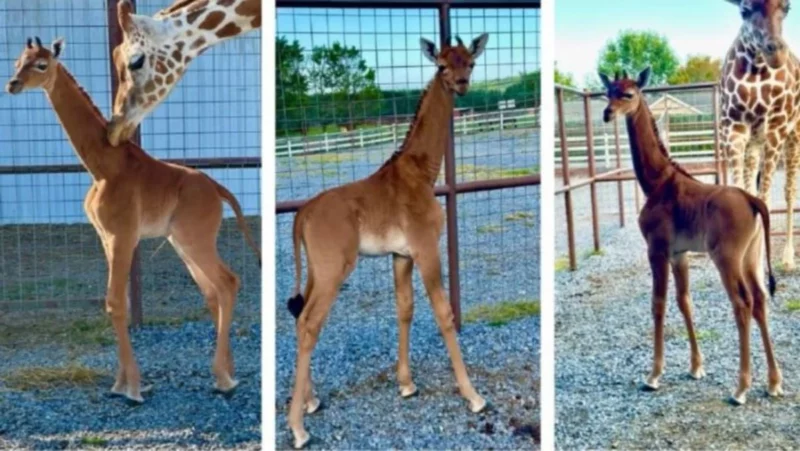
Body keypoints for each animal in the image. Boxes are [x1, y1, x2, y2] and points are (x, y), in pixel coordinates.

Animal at [720, 0, 800, 268]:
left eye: (787, 8)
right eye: (744, 10)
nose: (775, 52)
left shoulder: (776, 126)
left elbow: (765, 197)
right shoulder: (733, 128)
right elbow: (742, 191)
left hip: (793, 136)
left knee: (789, 192)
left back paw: (788, 257)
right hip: (755, 141)